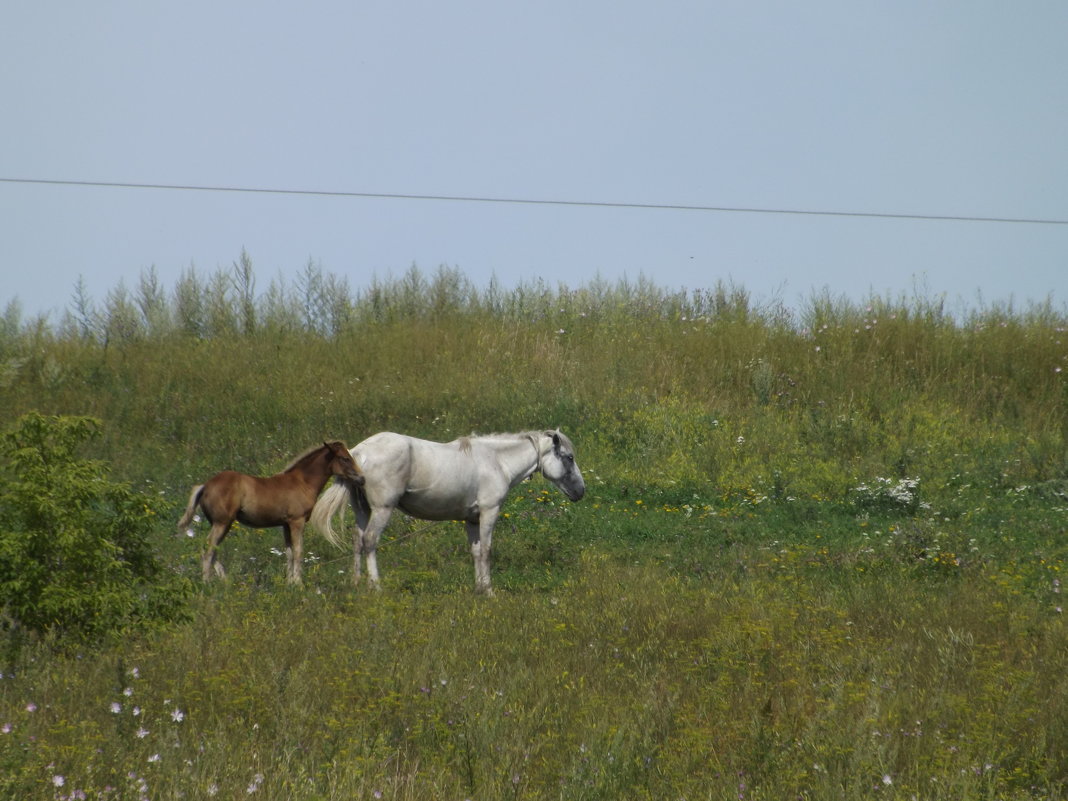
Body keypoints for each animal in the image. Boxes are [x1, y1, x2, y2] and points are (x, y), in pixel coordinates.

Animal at [311, 433, 585, 598]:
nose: (581, 491)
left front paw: (479, 588)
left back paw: (357, 584)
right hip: (381, 510)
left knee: (357, 541)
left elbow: (476, 552)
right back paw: (375, 586)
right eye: (569, 458)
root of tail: (360, 452)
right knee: (369, 541)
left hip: (362, 510)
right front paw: (489, 591)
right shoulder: (489, 512)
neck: (496, 461)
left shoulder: (472, 519)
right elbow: (486, 551)